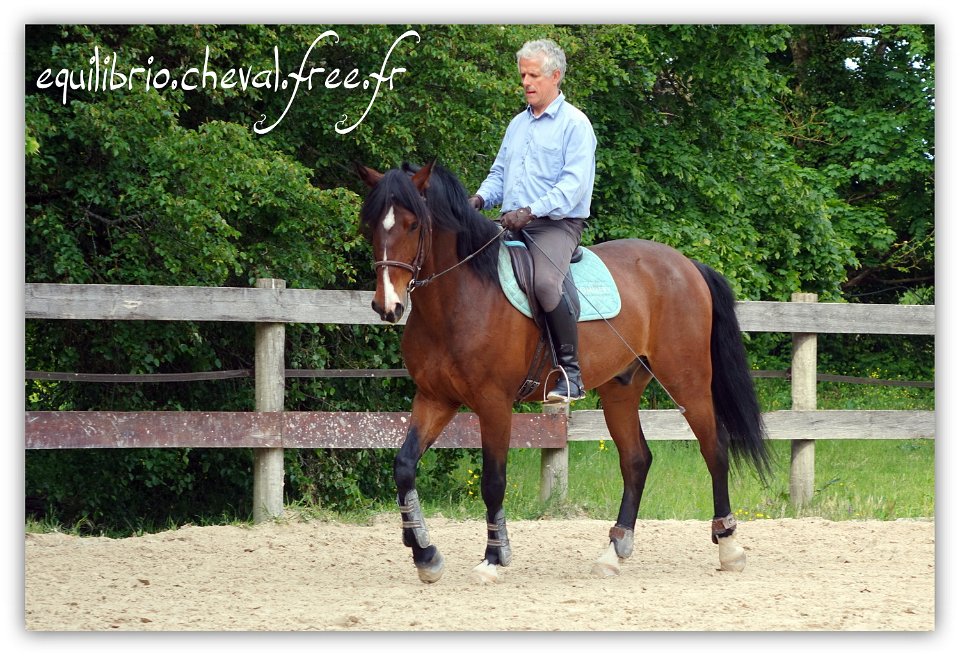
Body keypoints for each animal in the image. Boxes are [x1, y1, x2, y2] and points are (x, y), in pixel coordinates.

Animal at [356, 161, 768, 580]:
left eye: (412, 225)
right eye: (370, 224)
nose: (387, 306)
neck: (460, 298)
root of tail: (687, 266)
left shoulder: (493, 403)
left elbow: (493, 481)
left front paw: (493, 558)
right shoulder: (435, 399)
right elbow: (404, 466)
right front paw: (425, 554)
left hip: (688, 381)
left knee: (714, 448)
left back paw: (729, 547)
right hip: (621, 390)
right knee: (636, 460)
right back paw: (614, 551)